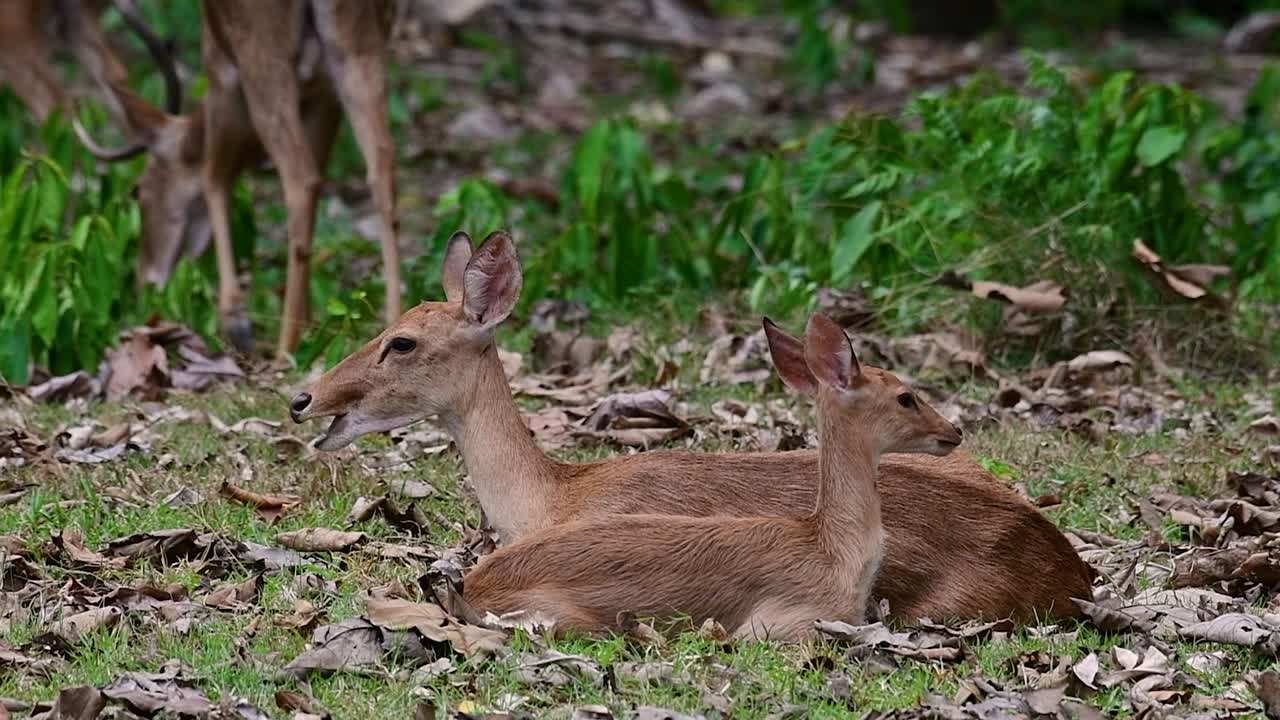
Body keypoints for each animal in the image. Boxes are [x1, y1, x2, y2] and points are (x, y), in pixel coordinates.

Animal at [74, 0, 402, 358]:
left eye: (138, 191)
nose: (143, 281)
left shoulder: (222, 78)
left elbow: (213, 177)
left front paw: (236, 322)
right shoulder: (323, 99)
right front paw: (310, 324)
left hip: (262, 58)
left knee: (300, 177)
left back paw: (284, 346)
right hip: (360, 47)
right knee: (382, 166)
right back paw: (392, 319)